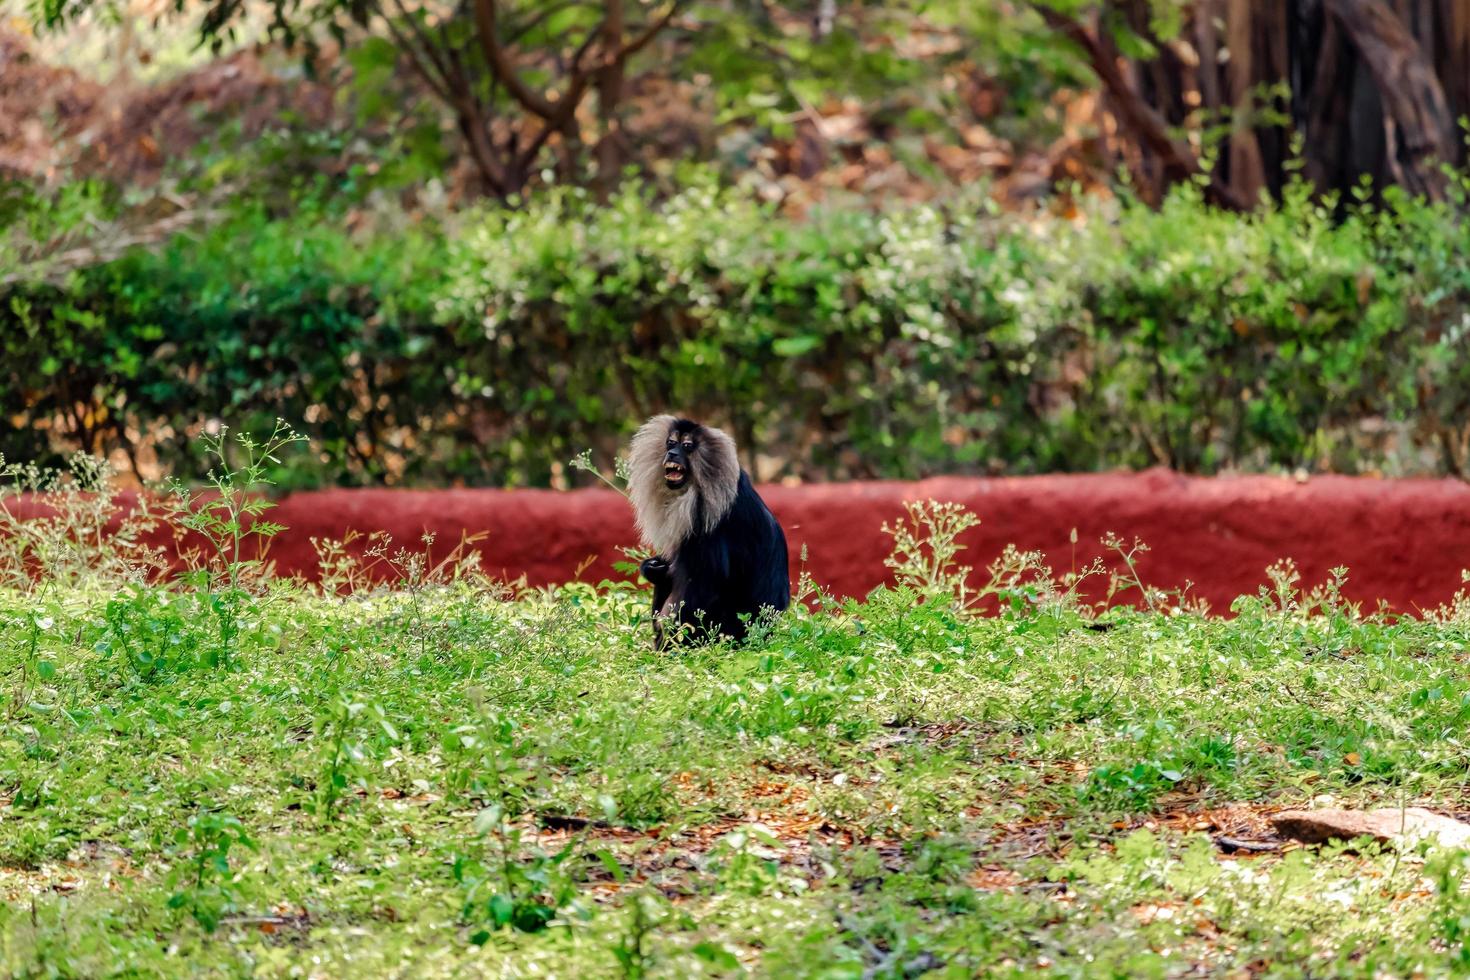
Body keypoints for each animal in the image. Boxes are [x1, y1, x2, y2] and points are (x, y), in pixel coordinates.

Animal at [629, 417, 793, 646]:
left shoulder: (706, 521)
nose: (672, 454)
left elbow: (703, 590)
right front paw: (650, 568)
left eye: (687, 446)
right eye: (671, 443)